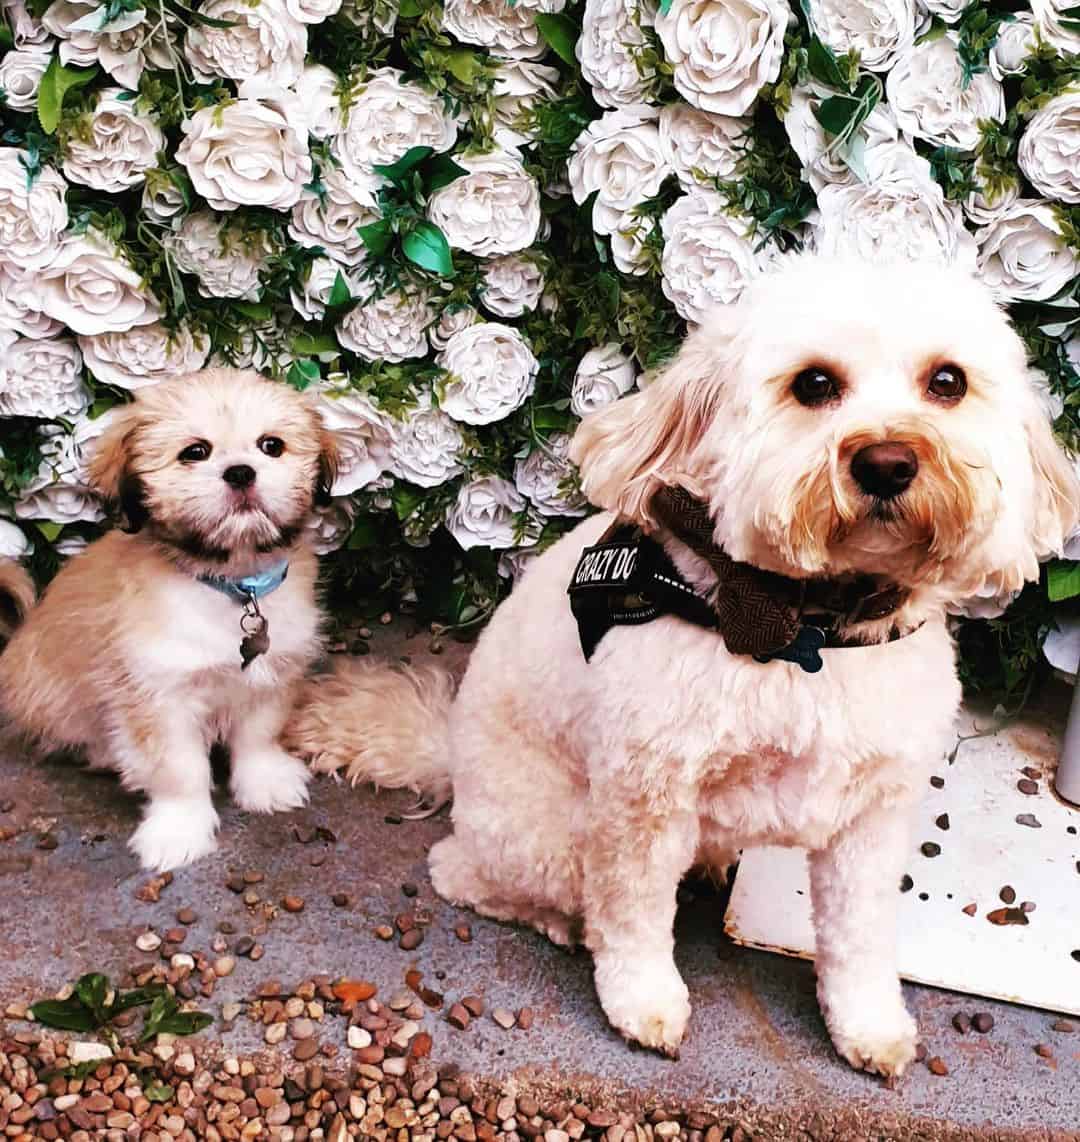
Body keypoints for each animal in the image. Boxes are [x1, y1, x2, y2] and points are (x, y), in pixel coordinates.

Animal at [0, 370, 335, 867]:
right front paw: (180, 829)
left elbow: (258, 735)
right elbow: (179, 769)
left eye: (271, 446)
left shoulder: (271, 675)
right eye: (195, 452)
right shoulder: (160, 698)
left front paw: (264, 782)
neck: (232, 584)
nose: (241, 472)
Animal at [281, 254, 1073, 1073]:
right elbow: (632, 913)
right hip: (548, 836)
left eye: (947, 382)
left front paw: (869, 1025)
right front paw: (644, 1003)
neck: (804, 630)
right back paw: (555, 917)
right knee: (466, 872)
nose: (887, 463)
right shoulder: (643, 794)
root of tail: (454, 753)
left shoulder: (873, 818)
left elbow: (858, 936)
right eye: (814, 384)